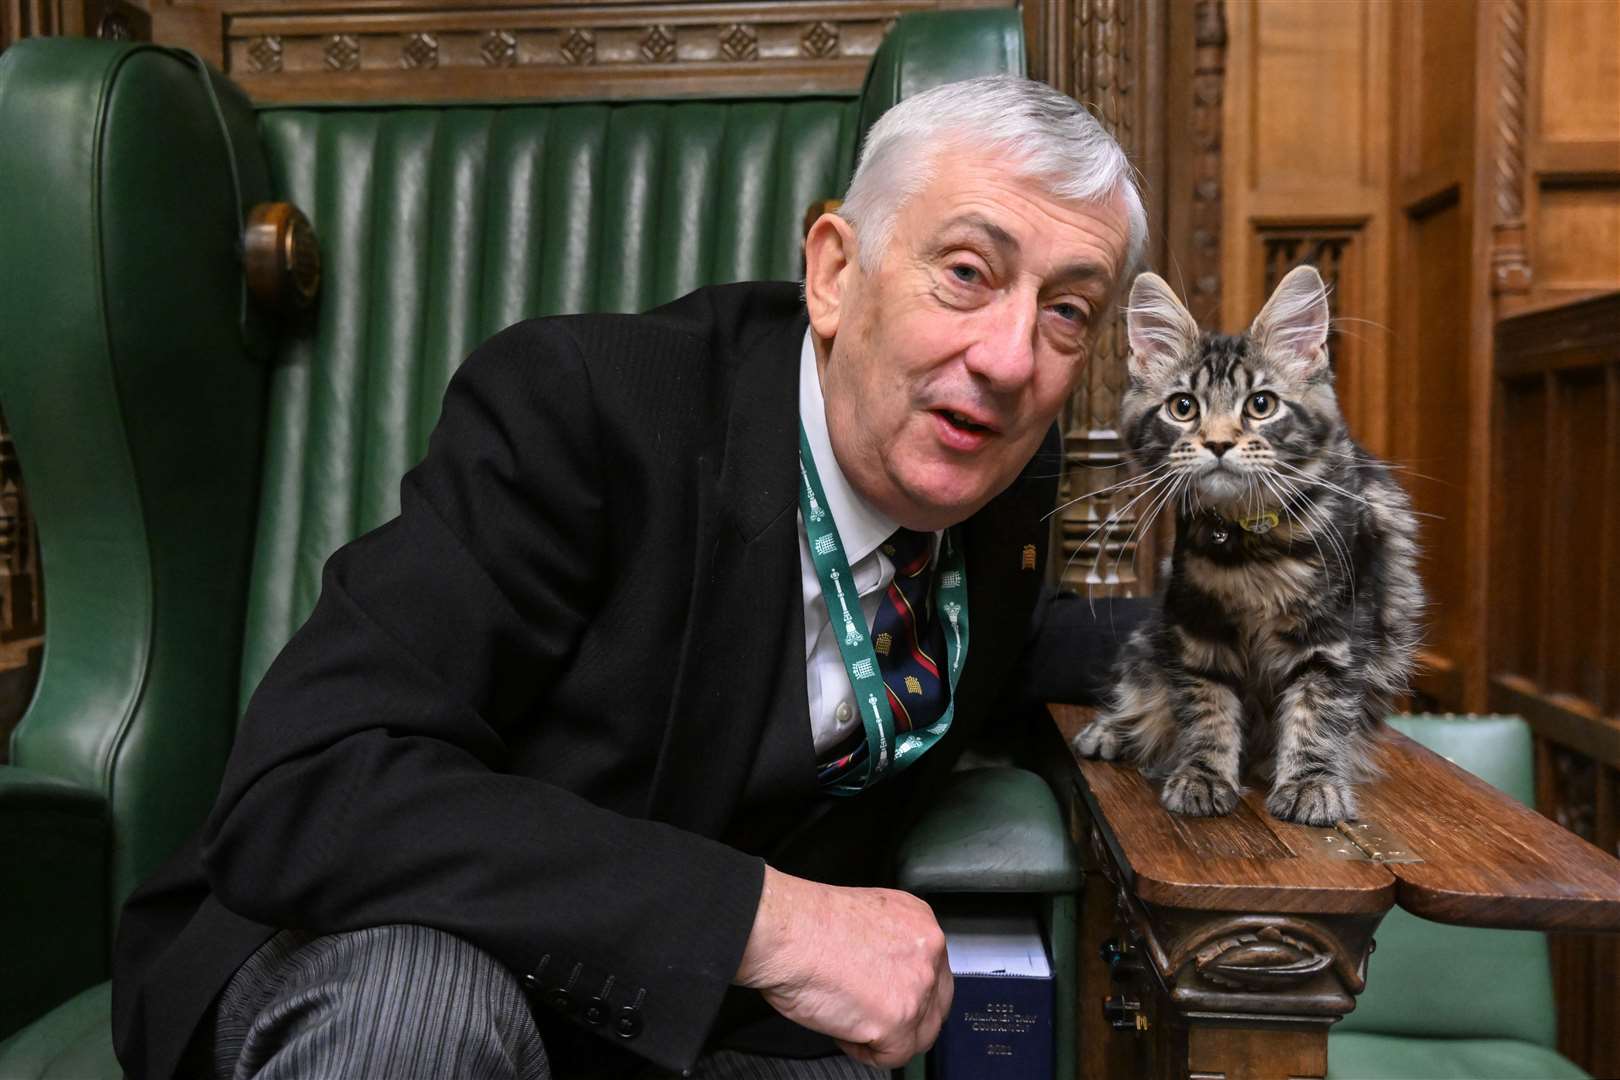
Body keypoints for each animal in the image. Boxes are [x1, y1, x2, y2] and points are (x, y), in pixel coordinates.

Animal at [1069, 265, 1425, 822]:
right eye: (1183, 408)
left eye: (1261, 405)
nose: (1218, 442)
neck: (1249, 547)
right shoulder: (1196, 626)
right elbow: (1207, 711)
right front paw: (1203, 776)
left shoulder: (1334, 635)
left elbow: (1317, 712)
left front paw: (1311, 784)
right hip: (1152, 637)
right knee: (1144, 692)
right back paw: (1113, 731)